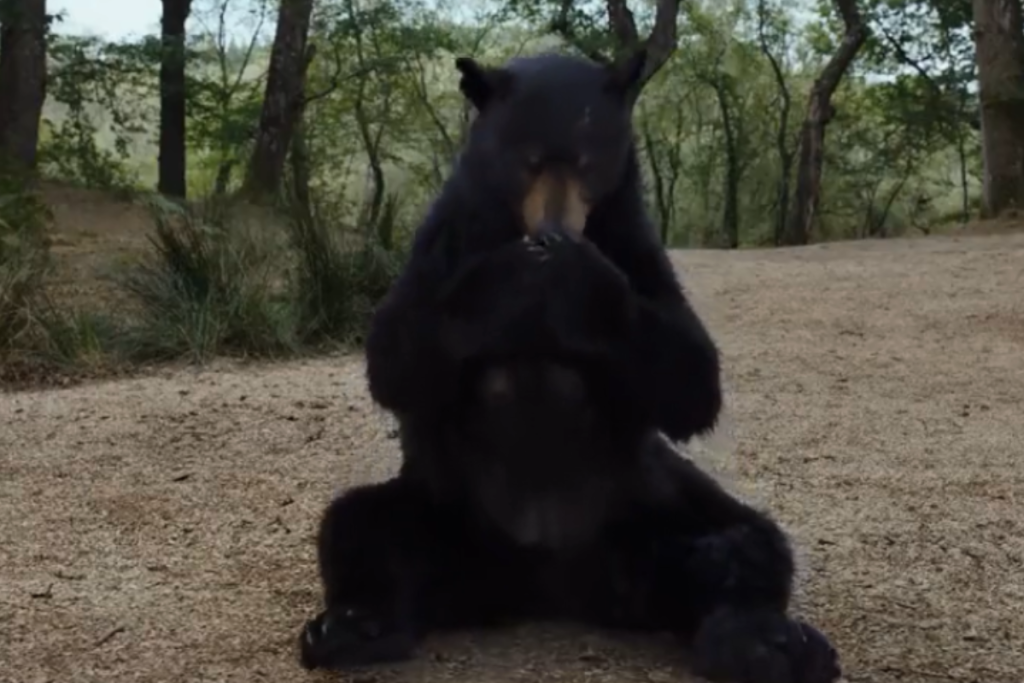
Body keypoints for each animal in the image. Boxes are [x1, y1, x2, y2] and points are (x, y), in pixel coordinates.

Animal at [296, 50, 842, 683]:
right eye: (528, 161)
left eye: (587, 161)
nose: (555, 229)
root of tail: (544, 583)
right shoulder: (450, 232)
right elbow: (396, 352)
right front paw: (514, 272)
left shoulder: (632, 238)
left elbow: (691, 377)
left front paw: (577, 271)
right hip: (442, 503)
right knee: (360, 526)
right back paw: (351, 626)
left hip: (650, 503)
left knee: (746, 541)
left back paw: (767, 642)